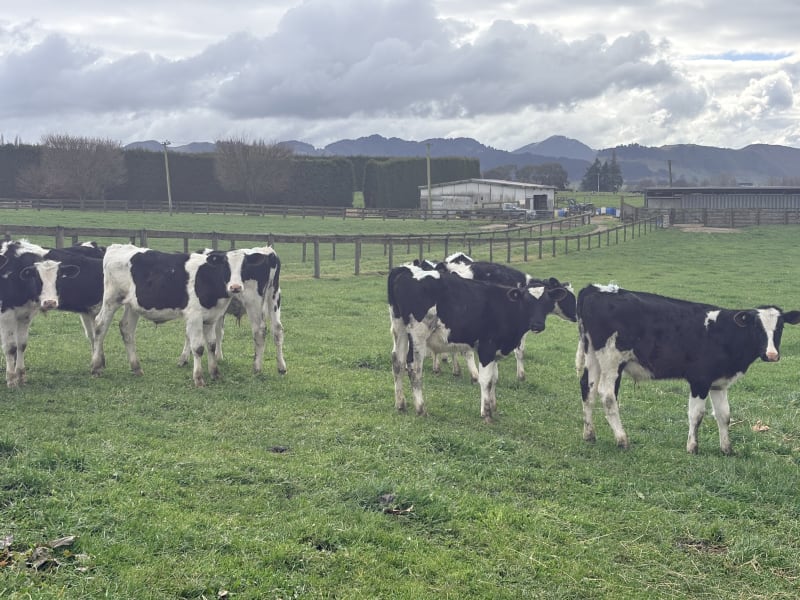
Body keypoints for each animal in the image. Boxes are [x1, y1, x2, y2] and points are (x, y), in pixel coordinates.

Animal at [91, 244, 265, 386]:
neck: (207, 278)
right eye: (225, 266)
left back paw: (136, 368)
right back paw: (96, 367)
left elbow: (212, 345)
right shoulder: (194, 317)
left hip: (133, 305)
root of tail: (117, 247)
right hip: (111, 299)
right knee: (100, 326)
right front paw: (198, 378)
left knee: (126, 329)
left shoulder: (211, 318)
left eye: (244, 267)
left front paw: (215, 373)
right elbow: (198, 348)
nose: (235, 287)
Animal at [178, 245, 286, 375]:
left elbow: (188, 333)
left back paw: (257, 367)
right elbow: (219, 332)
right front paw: (218, 357)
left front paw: (184, 358)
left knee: (260, 331)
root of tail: (268, 252)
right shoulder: (217, 311)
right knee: (277, 329)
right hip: (274, 297)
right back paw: (281, 367)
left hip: (253, 302)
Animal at [388, 263, 572, 421]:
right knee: (414, 368)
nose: (538, 325)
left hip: (399, 329)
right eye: (526, 302)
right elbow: (486, 380)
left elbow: (494, 379)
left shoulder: (495, 351)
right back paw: (420, 408)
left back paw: (400, 404)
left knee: (397, 362)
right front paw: (486, 412)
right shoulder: (486, 348)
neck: (505, 307)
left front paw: (493, 406)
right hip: (418, 335)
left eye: (547, 303)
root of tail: (405, 270)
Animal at [436, 252, 577, 380]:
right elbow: (520, 351)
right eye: (568, 296)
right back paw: (474, 375)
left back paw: (452, 369)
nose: (576, 315)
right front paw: (520, 376)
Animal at [575, 283, 800, 454]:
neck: (724, 333)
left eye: (780, 327)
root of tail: (596, 289)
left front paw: (727, 449)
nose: (772, 355)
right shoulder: (699, 379)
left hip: (592, 356)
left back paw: (589, 434)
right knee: (607, 395)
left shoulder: (719, 383)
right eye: (756, 327)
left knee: (587, 389)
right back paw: (622, 439)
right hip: (612, 360)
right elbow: (697, 414)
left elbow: (724, 415)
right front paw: (692, 447)